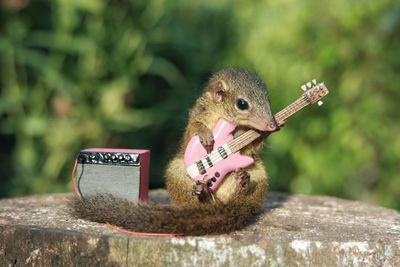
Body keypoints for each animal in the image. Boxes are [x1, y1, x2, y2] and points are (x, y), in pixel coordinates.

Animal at [70, 68, 278, 237]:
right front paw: (204, 134)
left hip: (258, 174)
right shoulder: (197, 115)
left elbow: (251, 146)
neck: (223, 117)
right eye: (242, 104)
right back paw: (204, 194)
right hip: (177, 172)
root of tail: (223, 205)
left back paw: (241, 185)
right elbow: (192, 131)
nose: (272, 124)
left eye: (268, 100)